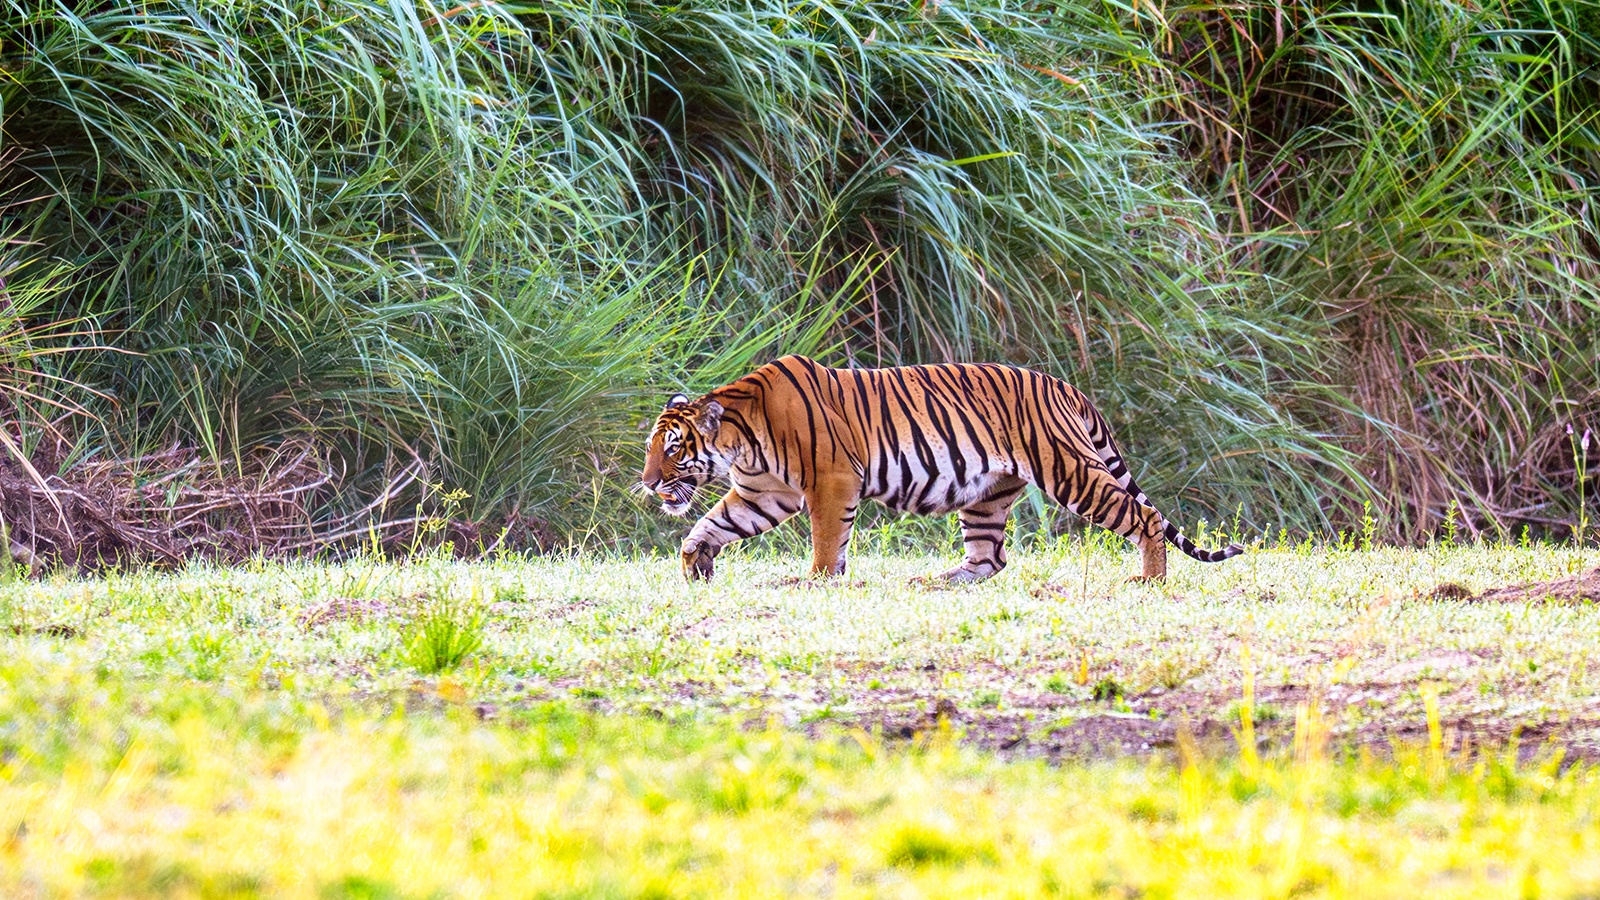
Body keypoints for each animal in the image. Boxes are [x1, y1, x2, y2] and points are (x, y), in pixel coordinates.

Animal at [640, 355, 1244, 583]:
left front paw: (815, 579)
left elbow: (826, 540)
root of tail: (1065, 386)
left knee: (1143, 518)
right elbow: (713, 523)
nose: (646, 484)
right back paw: (939, 580)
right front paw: (695, 562)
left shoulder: (830, 480)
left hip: (1070, 471)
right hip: (987, 494)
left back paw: (1150, 579)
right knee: (990, 558)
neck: (741, 440)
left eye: (672, 448)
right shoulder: (765, 493)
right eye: (653, 448)